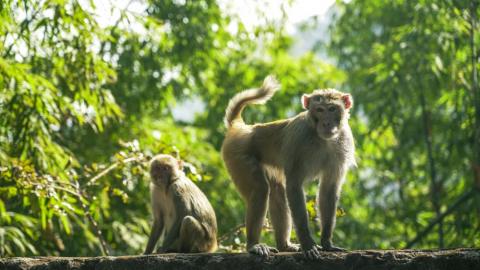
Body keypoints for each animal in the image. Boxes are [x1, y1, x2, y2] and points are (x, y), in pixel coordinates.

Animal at [223, 76, 354, 260]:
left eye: (332, 108)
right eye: (320, 110)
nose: (327, 123)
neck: (321, 139)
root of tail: (242, 127)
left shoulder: (343, 144)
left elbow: (328, 189)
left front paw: (327, 243)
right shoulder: (298, 140)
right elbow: (294, 186)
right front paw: (308, 244)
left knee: (277, 190)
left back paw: (284, 245)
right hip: (237, 154)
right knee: (260, 189)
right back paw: (253, 245)